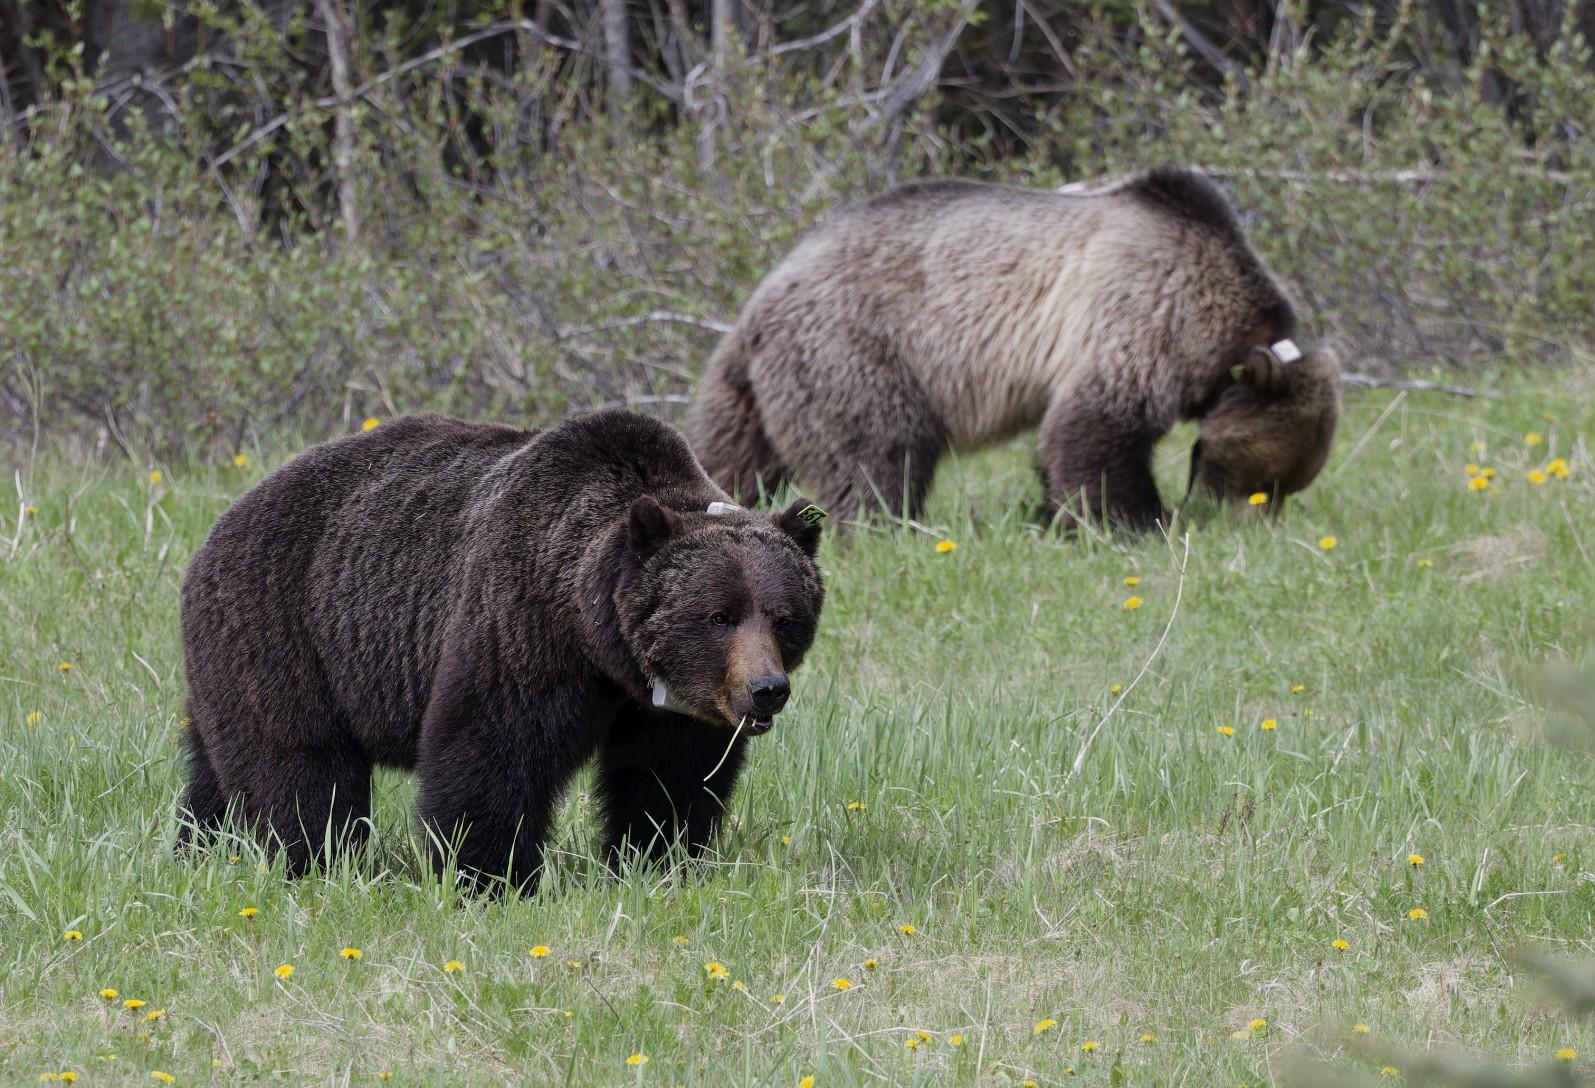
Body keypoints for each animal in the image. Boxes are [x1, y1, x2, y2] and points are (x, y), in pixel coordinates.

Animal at [176, 410, 826, 894]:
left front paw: (656, 860)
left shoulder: (668, 707)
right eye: (718, 616)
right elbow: (491, 749)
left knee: (212, 767)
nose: (766, 690)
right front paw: (489, 876)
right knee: (300, 767)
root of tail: (218, 526)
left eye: (784, 617)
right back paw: (314, 862)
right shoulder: (519, 623)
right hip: (285, 630)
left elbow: (668, 779)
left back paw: (200, 847)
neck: (597, 641)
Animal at [687, 167, 1340, 532]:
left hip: (748, 389)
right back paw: (886, 527)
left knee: (726, 454)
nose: (1255, 527)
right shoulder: (1141, 310)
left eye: (1290, 484)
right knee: (879, 452)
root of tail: (760, 299)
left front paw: (1059, 512)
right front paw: (1135, 520)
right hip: (853, 348)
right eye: (1260, 481)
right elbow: (1100, 429)